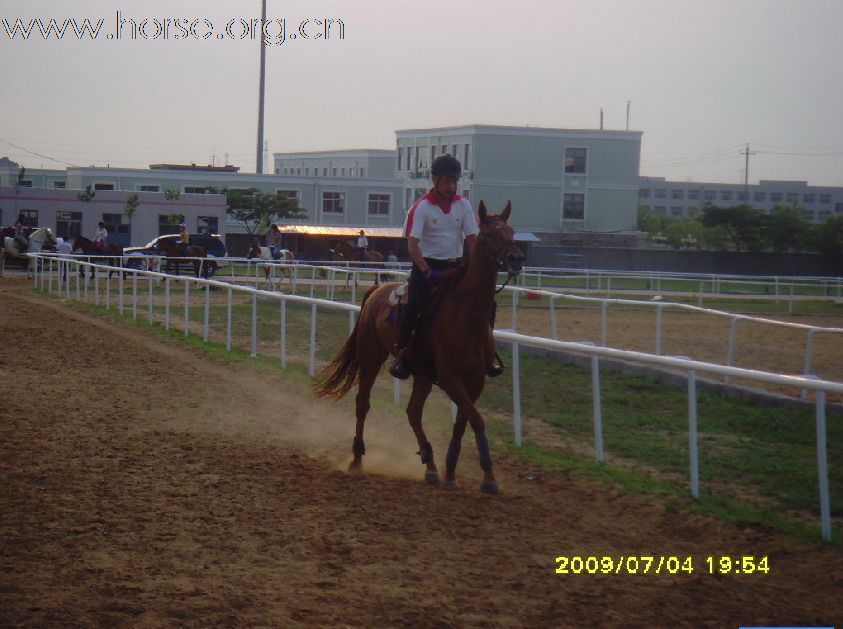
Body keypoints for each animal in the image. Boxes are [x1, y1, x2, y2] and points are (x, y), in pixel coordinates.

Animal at [316, 199, 524, 494]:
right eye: (488, 234)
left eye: (511, 231)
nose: (516, 258)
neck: (466, 316)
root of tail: (376, 293)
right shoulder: (449, 377)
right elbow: (476, 419)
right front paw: (487, 476)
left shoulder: (475, 380)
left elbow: (464, 422)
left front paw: (457, 471)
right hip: (372, 357)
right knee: (363, 403)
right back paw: (357, 458)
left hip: (422, 374)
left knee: (413, 412)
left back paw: (431, 463)